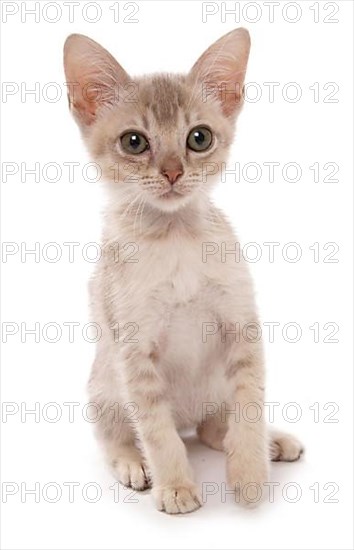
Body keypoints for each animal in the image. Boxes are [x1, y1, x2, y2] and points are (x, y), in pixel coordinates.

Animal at [63, 28, 302, 516]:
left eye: (199, 137)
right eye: (134, 142)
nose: (173, 172)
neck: (176, 241)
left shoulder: (242, 327)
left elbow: (250, 409)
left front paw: (250, 476)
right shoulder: (134, 351)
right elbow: (157, 432)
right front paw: (175, 487)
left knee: (215, 428)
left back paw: (271, 443)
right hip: (104, 387)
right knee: (119, 436)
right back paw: (134, 464)